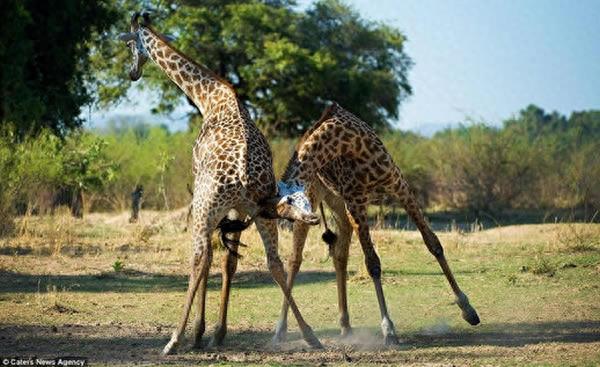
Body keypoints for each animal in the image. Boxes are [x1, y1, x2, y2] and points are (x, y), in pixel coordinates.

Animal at [118, 12, 324, 356]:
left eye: (130, 44)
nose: (132, 73)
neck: (209, 98)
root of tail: (243, 173)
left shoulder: (203, 195)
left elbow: (211, 259)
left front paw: (200, 333)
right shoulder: (239, 210)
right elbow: (229, 261)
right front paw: (217, 332)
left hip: (205, 208)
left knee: (199, 257)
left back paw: (174, 339)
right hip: (260, 213)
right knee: (274, 263)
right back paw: (310, 335)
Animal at [270, 103, 480, 344]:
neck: (347, 142)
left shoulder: (398, 184)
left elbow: (433, 243)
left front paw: (468, 309)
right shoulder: (356, 203)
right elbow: (373, 263)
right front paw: (388, 329)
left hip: (338, 204)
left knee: (339, 254)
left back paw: (345, 325)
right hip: (324, 198)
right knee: (295, 260)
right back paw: (281, 330)